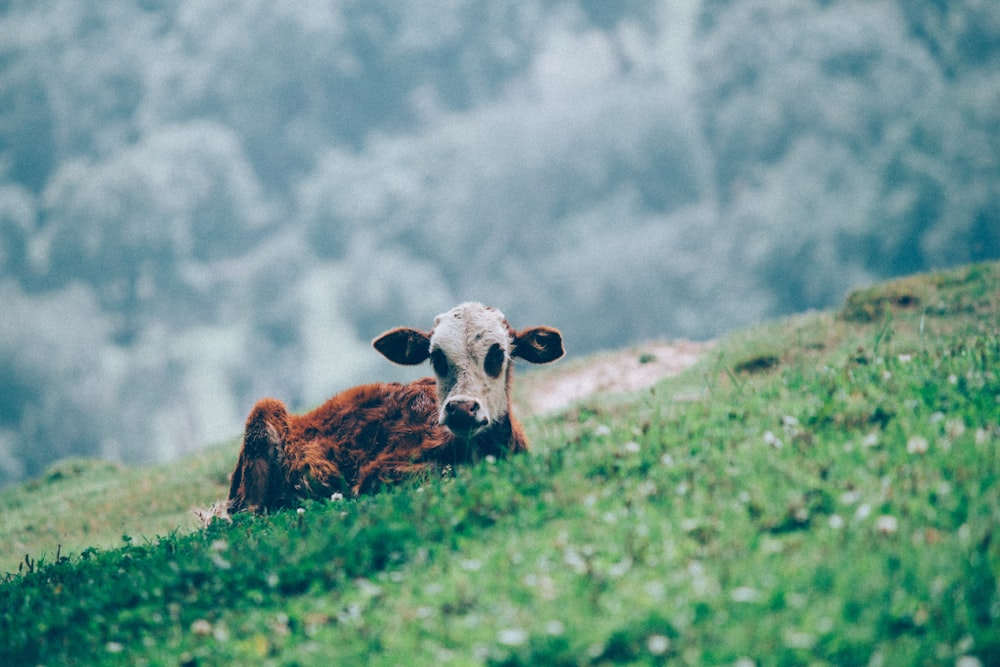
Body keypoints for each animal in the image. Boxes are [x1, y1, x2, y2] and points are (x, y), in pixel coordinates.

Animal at [223, 304, 564, 516]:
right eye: (436, 357)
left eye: (497, 354)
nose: (461, 409)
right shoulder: (377, 473)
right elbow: (436, 470)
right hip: (264, 414)